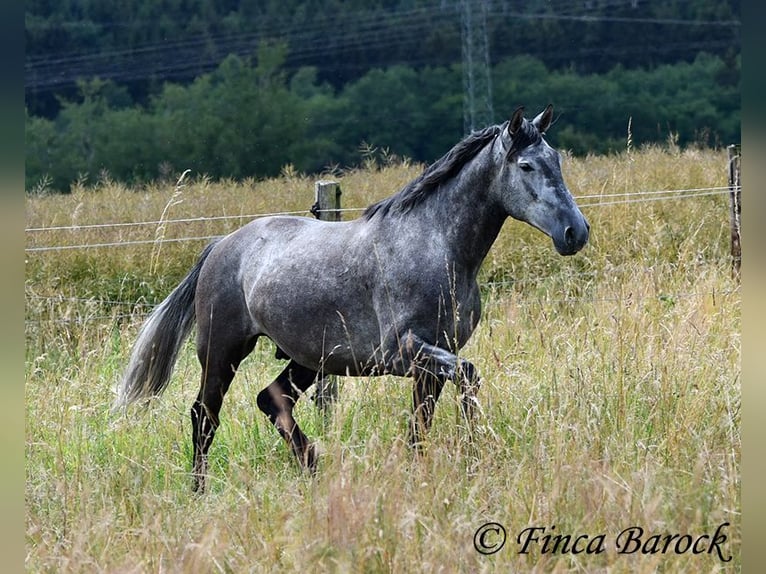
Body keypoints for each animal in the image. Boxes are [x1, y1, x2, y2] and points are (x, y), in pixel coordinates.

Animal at [117, 106, 592, 492]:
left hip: (308, 359)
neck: (435, 244)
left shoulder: (433, 362)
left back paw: (313, 466)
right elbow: (469, 377)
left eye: (557, 160)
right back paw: (199, 490)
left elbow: (421, 424)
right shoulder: (407, 352)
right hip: (222, 351)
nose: (575, 232)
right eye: (526, 165)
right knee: (204, 416)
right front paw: (476, 453)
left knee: (271, 400)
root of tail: (221, 245)